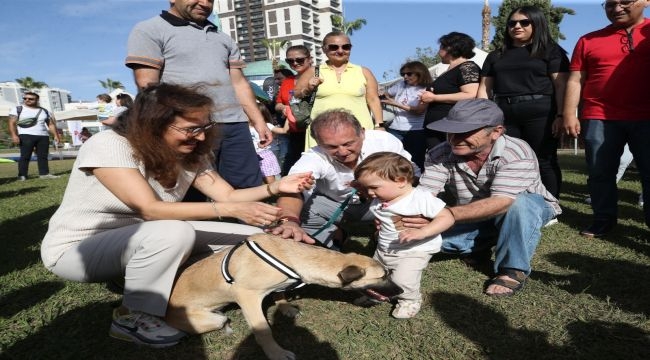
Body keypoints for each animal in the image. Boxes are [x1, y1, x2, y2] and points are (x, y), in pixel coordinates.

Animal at [166, 233, 400, 360]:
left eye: (388, 273)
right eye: (382, 276)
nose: (400, 291)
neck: (290, 255)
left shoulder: (279, 285)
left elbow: (281, 294)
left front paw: (285, 308)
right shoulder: (247, 296)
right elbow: (264, 331)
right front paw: (276, 353)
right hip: (212, 318)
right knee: (222, 320)